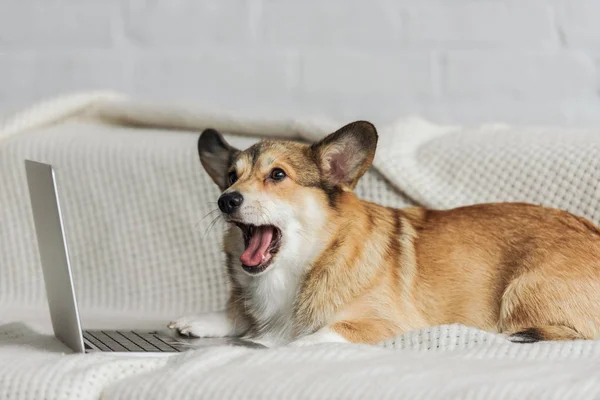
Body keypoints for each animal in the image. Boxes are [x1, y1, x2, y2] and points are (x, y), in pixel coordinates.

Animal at [166, 120, 600, 346]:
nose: (225, 201)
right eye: (230, 177)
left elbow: (313, 336)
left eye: (277, 175)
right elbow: (238, 315)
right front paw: (202, 321)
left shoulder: (380, 325)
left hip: (522, 290)